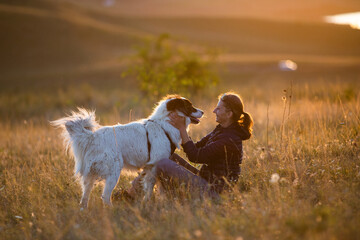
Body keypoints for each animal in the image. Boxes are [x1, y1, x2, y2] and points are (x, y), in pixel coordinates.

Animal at [51, 94, 202, 207]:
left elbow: (149, 186)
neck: (164, 124)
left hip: (91, 176)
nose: (203, 111)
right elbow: (152, 188)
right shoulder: (155, 166)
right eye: (189, 106)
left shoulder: (149, 167)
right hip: (113, 172)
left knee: (85, 197)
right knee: (105, 196)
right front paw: (148, 203)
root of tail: (92, 137)